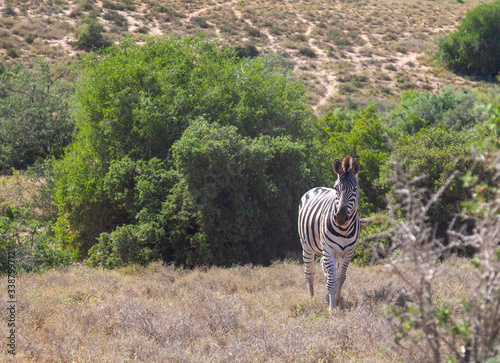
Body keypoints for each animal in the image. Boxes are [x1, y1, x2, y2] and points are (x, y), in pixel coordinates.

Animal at [296, 155, 360, 312]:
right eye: (337, 188)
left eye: (355, 189)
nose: (341, 217)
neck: (344, 229)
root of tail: (318, 187)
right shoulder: (329, 250)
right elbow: (332, 281)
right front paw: (331, 309)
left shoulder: (348, 252)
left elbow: (341, 278)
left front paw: (336, 302)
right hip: (306, 246)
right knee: (310, 274)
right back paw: (312, 299)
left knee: (325, 269)